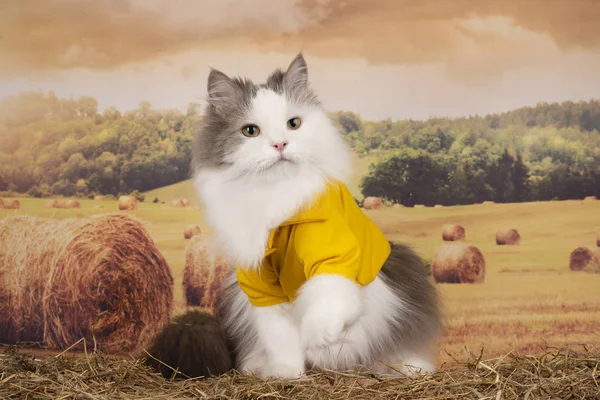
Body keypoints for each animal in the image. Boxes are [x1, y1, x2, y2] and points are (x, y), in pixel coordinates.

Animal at [145, 54, 440, 378]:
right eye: (250, 131)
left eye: (293, 124)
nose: (280, 144)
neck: (278, 200)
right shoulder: (260, 286)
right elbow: (280, 337)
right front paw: (287, 373)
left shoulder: (332, 258)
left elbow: (326, 302)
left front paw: (317, 338)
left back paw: (404, 366)